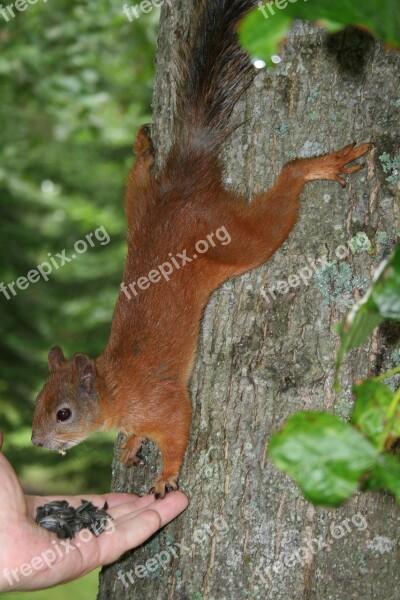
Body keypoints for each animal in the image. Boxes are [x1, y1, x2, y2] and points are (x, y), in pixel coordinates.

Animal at [32, 0, 374, 496]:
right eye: (38, 399)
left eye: (64, 413)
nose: (37, 441)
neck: (114, 389)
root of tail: (186, 182)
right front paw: (131, 445)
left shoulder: (164, 400)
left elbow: (177, 431)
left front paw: (165, 476)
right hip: (139, 208)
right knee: (139, 181)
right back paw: (144, 149)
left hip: (234, 239)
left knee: (280, 195)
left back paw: (316, 167)